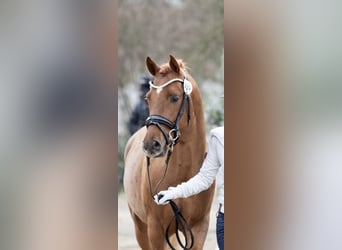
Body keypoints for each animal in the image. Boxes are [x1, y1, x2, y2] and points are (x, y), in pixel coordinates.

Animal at [123, 55, 214, 249]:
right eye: (148, 98)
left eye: (174, 97)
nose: (151, 145)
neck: (183, 170)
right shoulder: (156, 231)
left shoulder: (198, 227)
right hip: (140, 228)